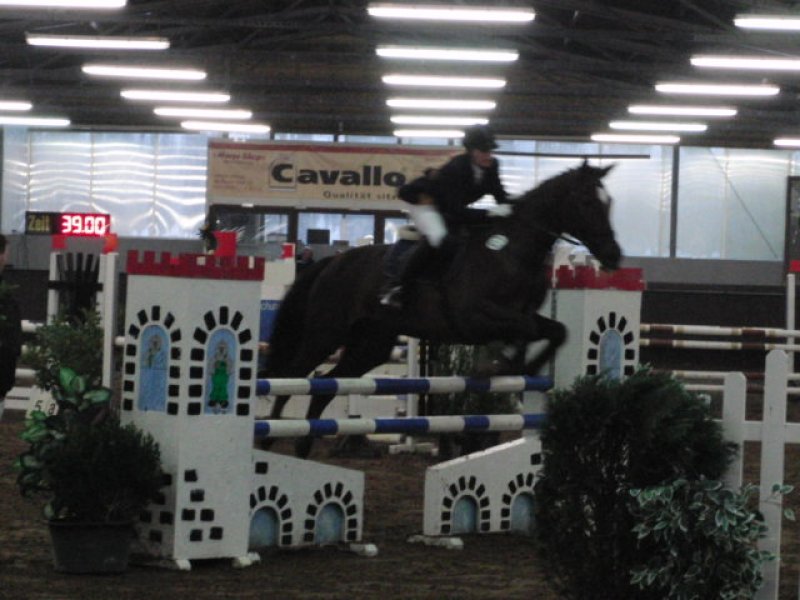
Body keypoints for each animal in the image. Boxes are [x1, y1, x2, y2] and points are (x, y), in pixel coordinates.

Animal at [264, 162, 622, 457]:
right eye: (587, 203)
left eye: (609, 203)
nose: (613, 256)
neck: (510, 251)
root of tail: (332, 262)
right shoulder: (475, 316)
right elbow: (525, 330)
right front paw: (499, 366)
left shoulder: (522, 313)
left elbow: (556, 331)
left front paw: (524, 368)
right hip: (325, 333)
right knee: (293, 375)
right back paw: (269, 437)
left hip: (370, 344)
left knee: (325, 387)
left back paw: (304, 444)